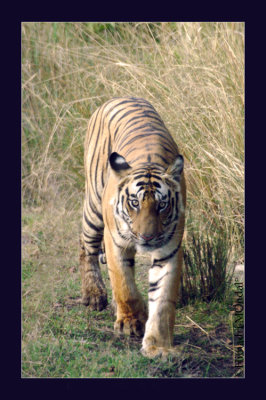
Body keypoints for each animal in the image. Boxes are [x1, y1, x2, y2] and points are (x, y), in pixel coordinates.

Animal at [79, 96, 186, 356]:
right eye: (135, 203)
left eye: (162, 205)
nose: (146, 237)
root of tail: (116, 98)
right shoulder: (115, 241)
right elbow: (124, 285)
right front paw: (130, 322)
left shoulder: (169, 249)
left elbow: (163, 298)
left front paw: (158, 346)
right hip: (94, 209)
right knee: (85, 247)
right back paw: (93, 295)